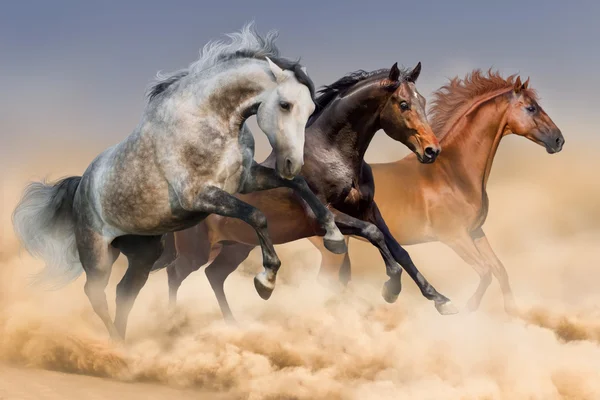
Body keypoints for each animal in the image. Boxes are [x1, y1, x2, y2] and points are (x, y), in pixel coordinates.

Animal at [11, 23, 344, 340]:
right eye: (285, 105)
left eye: (312, 109)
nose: (290, 162)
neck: (208, 121)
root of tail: (81, 185)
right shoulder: (200, 195)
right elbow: (257, 215)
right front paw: (266, 281)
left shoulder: (245, 181)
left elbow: (298, 185)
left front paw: (334, 237)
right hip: (98, 255)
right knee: (96, 295)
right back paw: (115, 347)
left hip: (144, 253)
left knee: (125, 292)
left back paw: (126, 344)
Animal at [152, 62, 458, 320]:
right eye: (404, 104)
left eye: (423, 101)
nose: (432, 151)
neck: (332, 153)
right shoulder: (325, 217)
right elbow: (375, 235)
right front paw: (391, 288)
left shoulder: (368, 209)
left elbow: (399, 249)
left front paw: (440, 299)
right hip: (197, 251)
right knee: (175, 273)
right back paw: (171, 320)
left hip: (235, 248)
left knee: (214, 275)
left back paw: (235, 320)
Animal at [312, 70, 564, 314]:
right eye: (531, 108)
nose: (558, 140)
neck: (453, 172)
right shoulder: (454, 236)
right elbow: (485, 272)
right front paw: (464, 309)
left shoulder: (475, 231)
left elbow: (499, 269)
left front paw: (512, 312)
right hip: (332, 250)